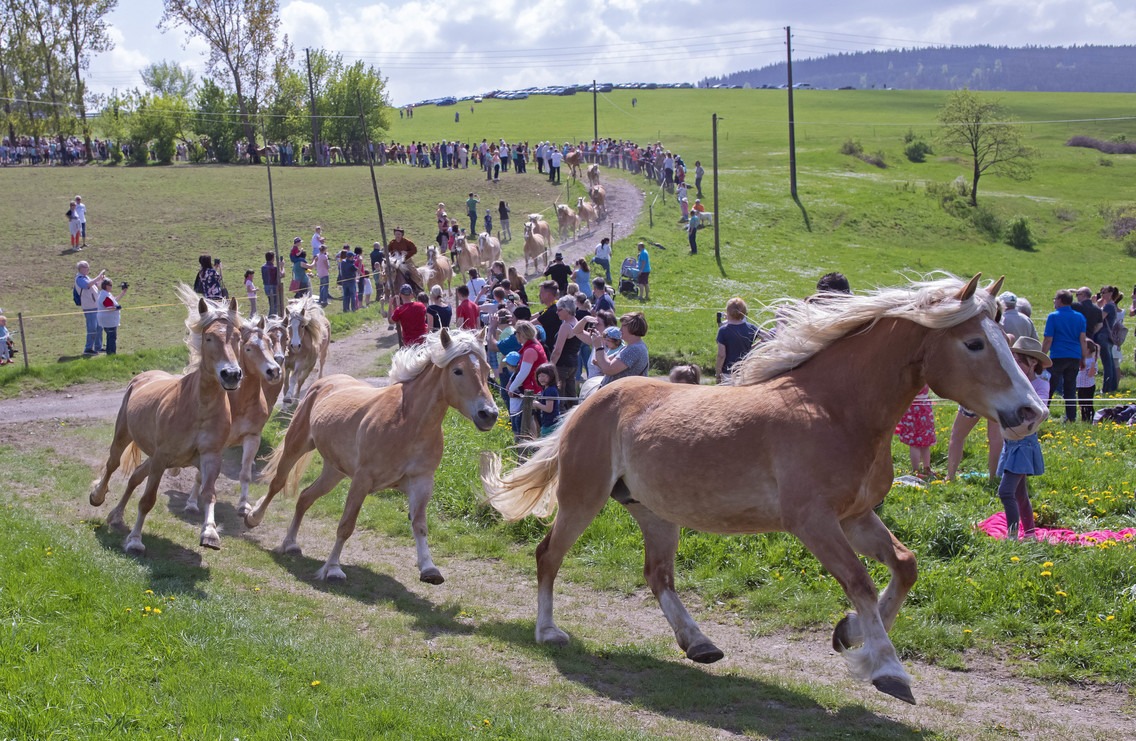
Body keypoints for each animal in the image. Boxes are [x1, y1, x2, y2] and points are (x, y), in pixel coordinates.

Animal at [184, 315, 284, 518]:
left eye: (269, 343)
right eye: (248, 348)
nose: (274, 371)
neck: (240, 403)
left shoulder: (252, 438)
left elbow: (245, 473)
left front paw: (244, 506)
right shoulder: (216, 444)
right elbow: (201, 475)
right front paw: (191, 503)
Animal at [246, 329, 499, 586]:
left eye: (487, 370)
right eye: (457, 370)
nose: (489, 414)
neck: (407, 422)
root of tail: (322, 383)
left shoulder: (421, 482)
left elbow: (419, 525)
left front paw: (429, 569)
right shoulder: (362, 480)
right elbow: (346, 525)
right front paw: (333, 569)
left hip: (333, 472)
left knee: (305, 497)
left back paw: (291, 544)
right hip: (295, 447)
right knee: (277, 483)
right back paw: (253, 518)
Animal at [479, 275, 1045, 704]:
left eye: (1004, 337)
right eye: (974, 343)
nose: (1031, 412)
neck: (836, 409)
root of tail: (589, 400)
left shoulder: (856, 517)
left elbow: (904, 566)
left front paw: (849, 635)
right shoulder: (813, 522)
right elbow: (860, 582)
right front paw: (887, 670)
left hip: (655, 512)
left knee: (658, 576)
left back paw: (700, 644)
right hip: (584, 498)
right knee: (549, 555)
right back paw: (548, 632)